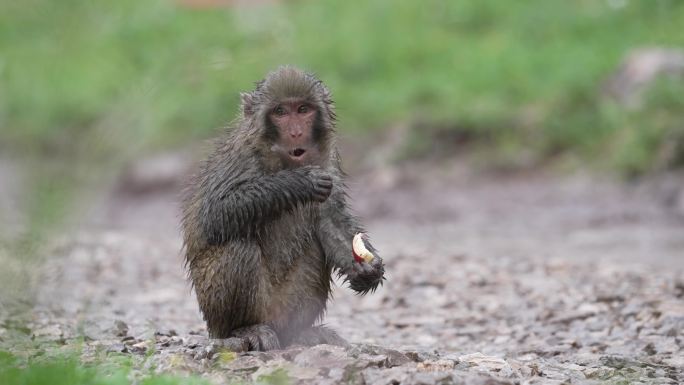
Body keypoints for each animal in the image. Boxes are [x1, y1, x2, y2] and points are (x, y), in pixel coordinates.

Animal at [180, 67, 384, 352]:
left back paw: (301, 333)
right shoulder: (241, 158)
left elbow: (330, 219)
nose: (296, 132)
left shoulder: (328, 158)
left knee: (314, 248)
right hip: (218, 311)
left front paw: (367, 270)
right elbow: (215, 214)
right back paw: (245, 329)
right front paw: (299, 182)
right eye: (280, 112)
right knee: (238, 245)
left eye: (303, 109)